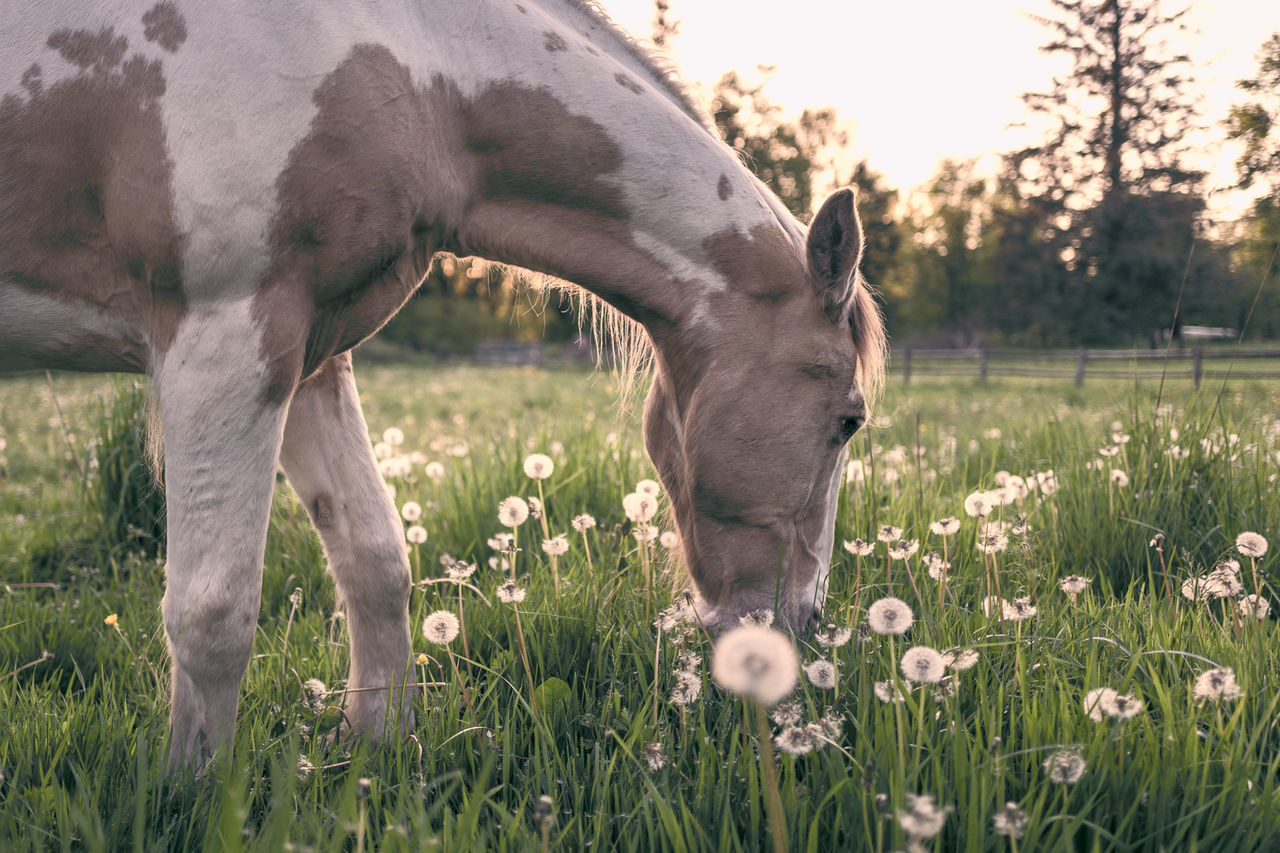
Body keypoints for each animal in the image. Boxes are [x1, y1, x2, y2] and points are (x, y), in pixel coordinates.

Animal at [0, 0, 885, 763]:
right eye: (849, 419)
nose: (800, 625)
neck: (414, 75)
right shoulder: (223, 338)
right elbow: (212, 612)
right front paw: (193, 794)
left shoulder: (310, 353)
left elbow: (376, 562)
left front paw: (377, 751)